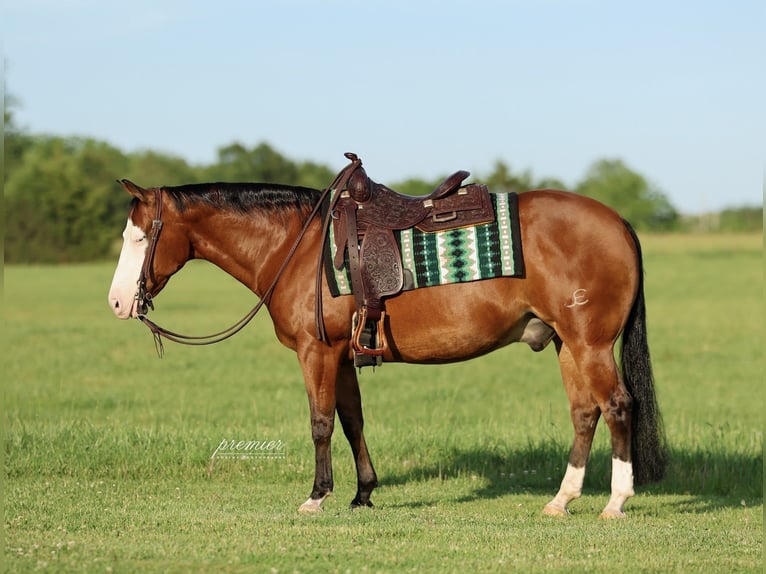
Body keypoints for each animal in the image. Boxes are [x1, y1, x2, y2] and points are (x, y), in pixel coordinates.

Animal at [107, 171, 667, 519]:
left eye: (139, 238)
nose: (116, 303)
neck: (297, 247)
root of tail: (618, 222)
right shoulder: (342, 355)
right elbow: (351, 421)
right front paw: (363, 495)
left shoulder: (316, 352)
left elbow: (320, 422)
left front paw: (317, 497)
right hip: (565, 343)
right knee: (584, 413)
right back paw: (561, 500)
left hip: (590, 343)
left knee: (618, 406)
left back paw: (615, 503)